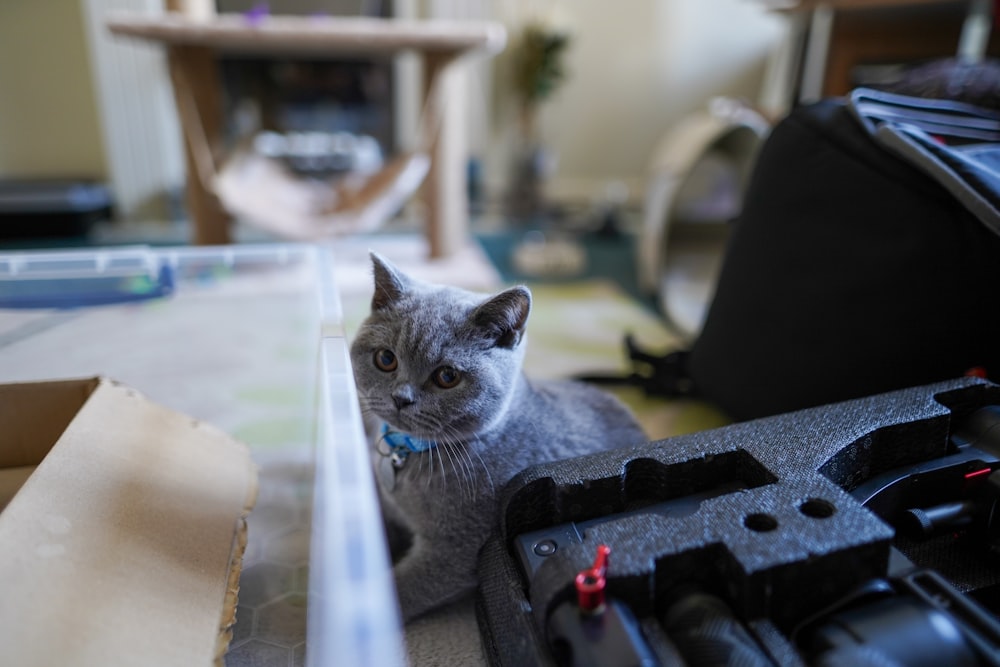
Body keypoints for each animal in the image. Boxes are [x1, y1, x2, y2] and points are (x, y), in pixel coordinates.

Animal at [352, 253, 648, 624]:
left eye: (447, 376)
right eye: (385, 359)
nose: (401, 398)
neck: (407, 453)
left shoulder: (455, 548)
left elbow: (403, 589)